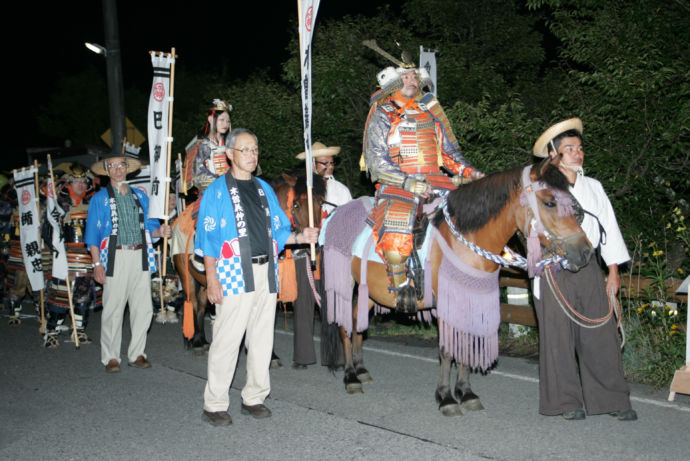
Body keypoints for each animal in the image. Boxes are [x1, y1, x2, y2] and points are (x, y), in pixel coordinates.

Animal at [171, 172, 324, 356]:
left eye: (321, 203)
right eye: (296, 205)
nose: (312, 247)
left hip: (205, 281)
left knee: (201, 304)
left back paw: (202, 340)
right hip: (185, 273)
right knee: (193, 302)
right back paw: (196, 342)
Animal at [322, 156, 592, 416]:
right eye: (549, 203)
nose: (585, 252)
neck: (464, 242)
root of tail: (334, 216)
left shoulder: (472, 300)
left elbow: (467, 344)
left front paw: (466, 393)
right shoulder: (448, 303)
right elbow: (447, 350)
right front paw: (446, 398)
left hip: (370, 291)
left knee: (357, 321)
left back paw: (361, 369)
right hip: (344, 282)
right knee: (345, 325)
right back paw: (350, 377)